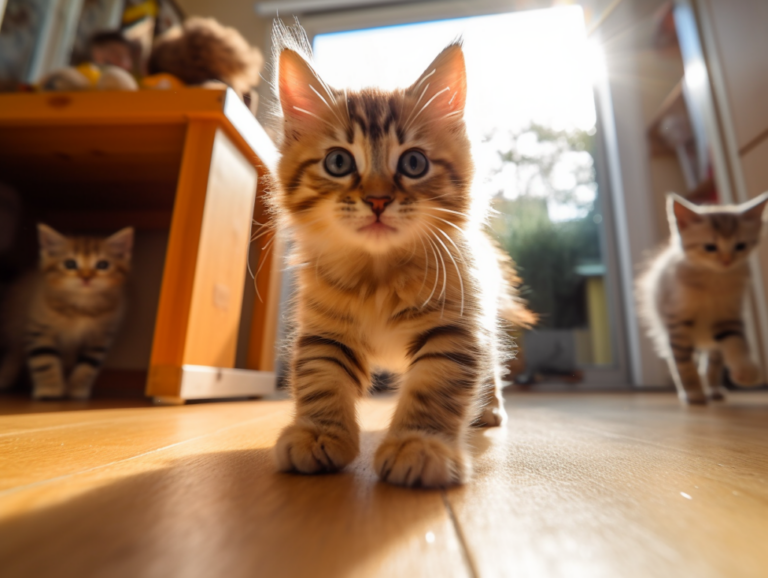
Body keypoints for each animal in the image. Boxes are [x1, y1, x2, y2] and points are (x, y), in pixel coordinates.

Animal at [0, 223, 134, 398]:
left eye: (103, 265)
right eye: (70, 264)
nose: (86, 277)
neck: (81, 308)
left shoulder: (100, 338)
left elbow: (87, 366)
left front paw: (76, 389)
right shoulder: (39, 330)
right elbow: (44, 360)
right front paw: (50, 389)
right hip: (15, 323)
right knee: (14, 351)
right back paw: (5, 377)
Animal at [270, 25, 536, 486]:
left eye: (413, 163)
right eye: (338, 162)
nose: (377, 200)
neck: (377, 276)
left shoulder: (455, 328)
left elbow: (435, 387)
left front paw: (420, 445)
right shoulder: (324, 332)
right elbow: (321, 380)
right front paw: (318, 434)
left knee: (491, 365)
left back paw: (488, 410)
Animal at [636, 191, 768, 402]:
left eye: (740, 246)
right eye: (710, 247)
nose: (726, 261)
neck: (713, 281)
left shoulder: (728, 316)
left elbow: (736, 342)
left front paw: (745, 371)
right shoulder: (677, 321)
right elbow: (683, 362)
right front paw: (693, 393)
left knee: (713, 362)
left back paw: (714, 390)